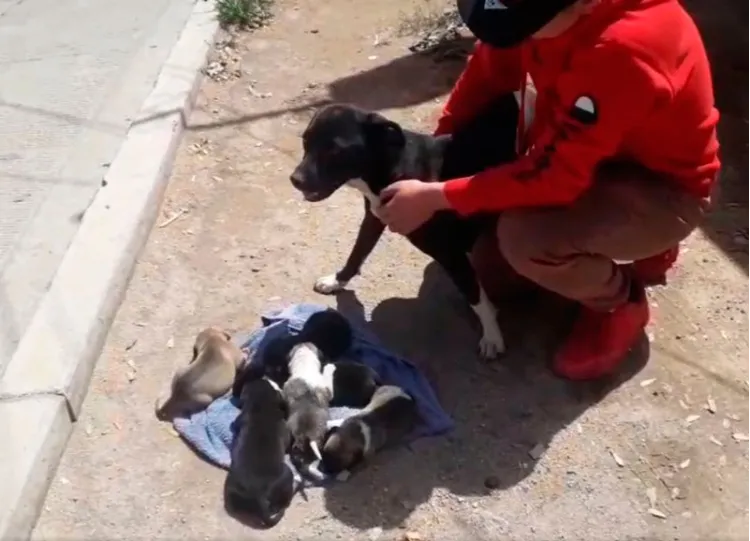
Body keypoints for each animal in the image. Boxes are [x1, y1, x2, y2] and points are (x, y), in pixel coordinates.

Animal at [288, 103, 516, 358]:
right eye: (305, 141)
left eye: (334, 150)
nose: (295, 179)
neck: (393, 167)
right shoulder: (374, 217)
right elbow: (357, 252)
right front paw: (337, 281)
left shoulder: (450, 253)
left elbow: (475, 295)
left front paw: (492, 335)